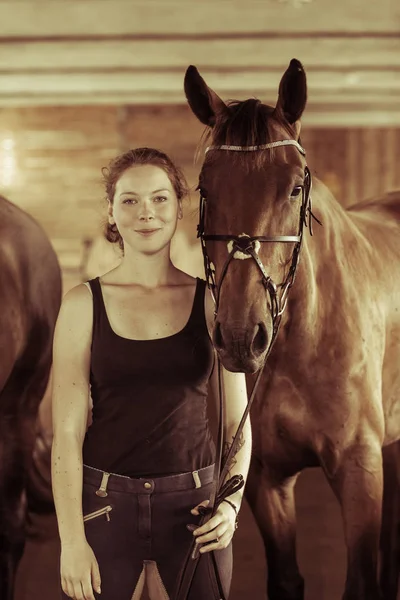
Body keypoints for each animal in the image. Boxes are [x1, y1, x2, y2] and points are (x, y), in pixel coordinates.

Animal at [186, 57, 400, 600]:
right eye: (205, 188)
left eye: (295, 188)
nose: (241, 337)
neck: (305, 340)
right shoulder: (266, 479)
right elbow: (286, 579)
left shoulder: (360, 471)